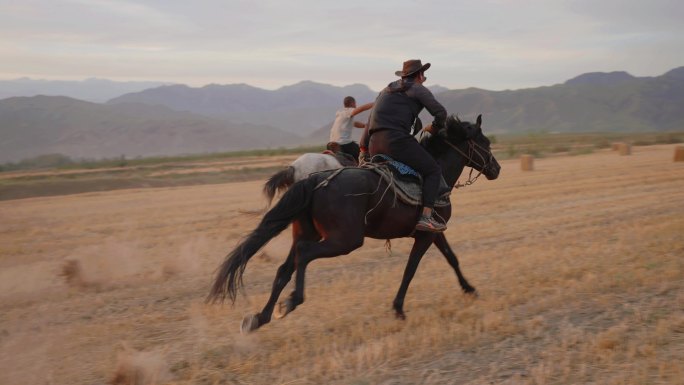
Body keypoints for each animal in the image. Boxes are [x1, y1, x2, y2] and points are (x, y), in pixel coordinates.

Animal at [206, 113, 500, 330]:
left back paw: (261, 317)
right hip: (344, 240)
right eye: (485, 142)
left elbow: (452, 258)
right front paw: (398, 308)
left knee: (285, 268)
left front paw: (469, 289)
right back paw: (292, 301)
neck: (435, 174)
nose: (496, 169)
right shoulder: (426, 234)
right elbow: (411, 269)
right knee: (304, 255)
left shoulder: (433, 232)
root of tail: (313, 180)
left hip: (307, 232)